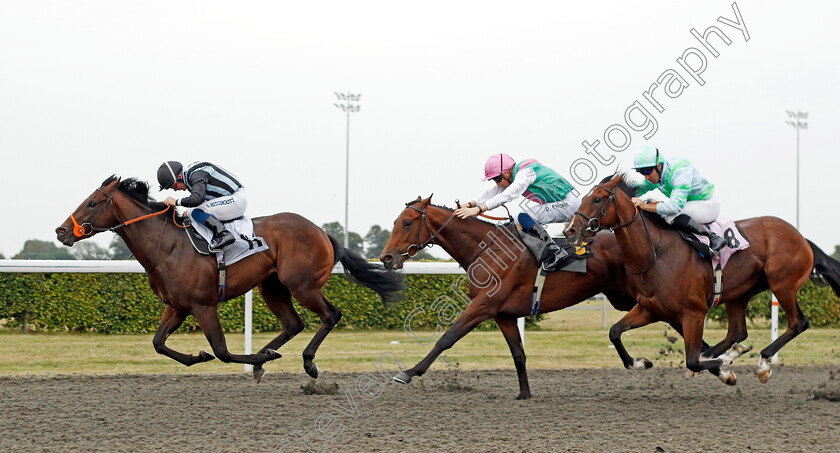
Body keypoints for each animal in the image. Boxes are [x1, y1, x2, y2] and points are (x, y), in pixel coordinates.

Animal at [55, 175, 404, 380]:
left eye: (92, 202)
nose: (61, 231)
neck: (167, 245)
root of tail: (321, 230)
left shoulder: (203, 305)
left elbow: (221, 351)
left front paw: (237, 355)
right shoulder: (177, 306)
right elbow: (158, 343)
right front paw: (204, 356)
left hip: (302, 285)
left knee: (331, 314)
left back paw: (307, 362)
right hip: (272, 287)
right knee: (293, 324)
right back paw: (266, 357)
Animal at [564, 174, 840, 382]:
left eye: (597, 199)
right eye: (584, 198)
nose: (571, 230)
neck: (656, 254)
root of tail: (801, 237)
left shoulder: (694, 312)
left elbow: (692, 361)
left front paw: (724, 368)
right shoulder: (649, 308)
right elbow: (614, 331)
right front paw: (640, 362)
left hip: (782, 284)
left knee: (798, 323)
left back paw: (761, 362)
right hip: (739, 294)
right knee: (737, 333)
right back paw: (729, 354)